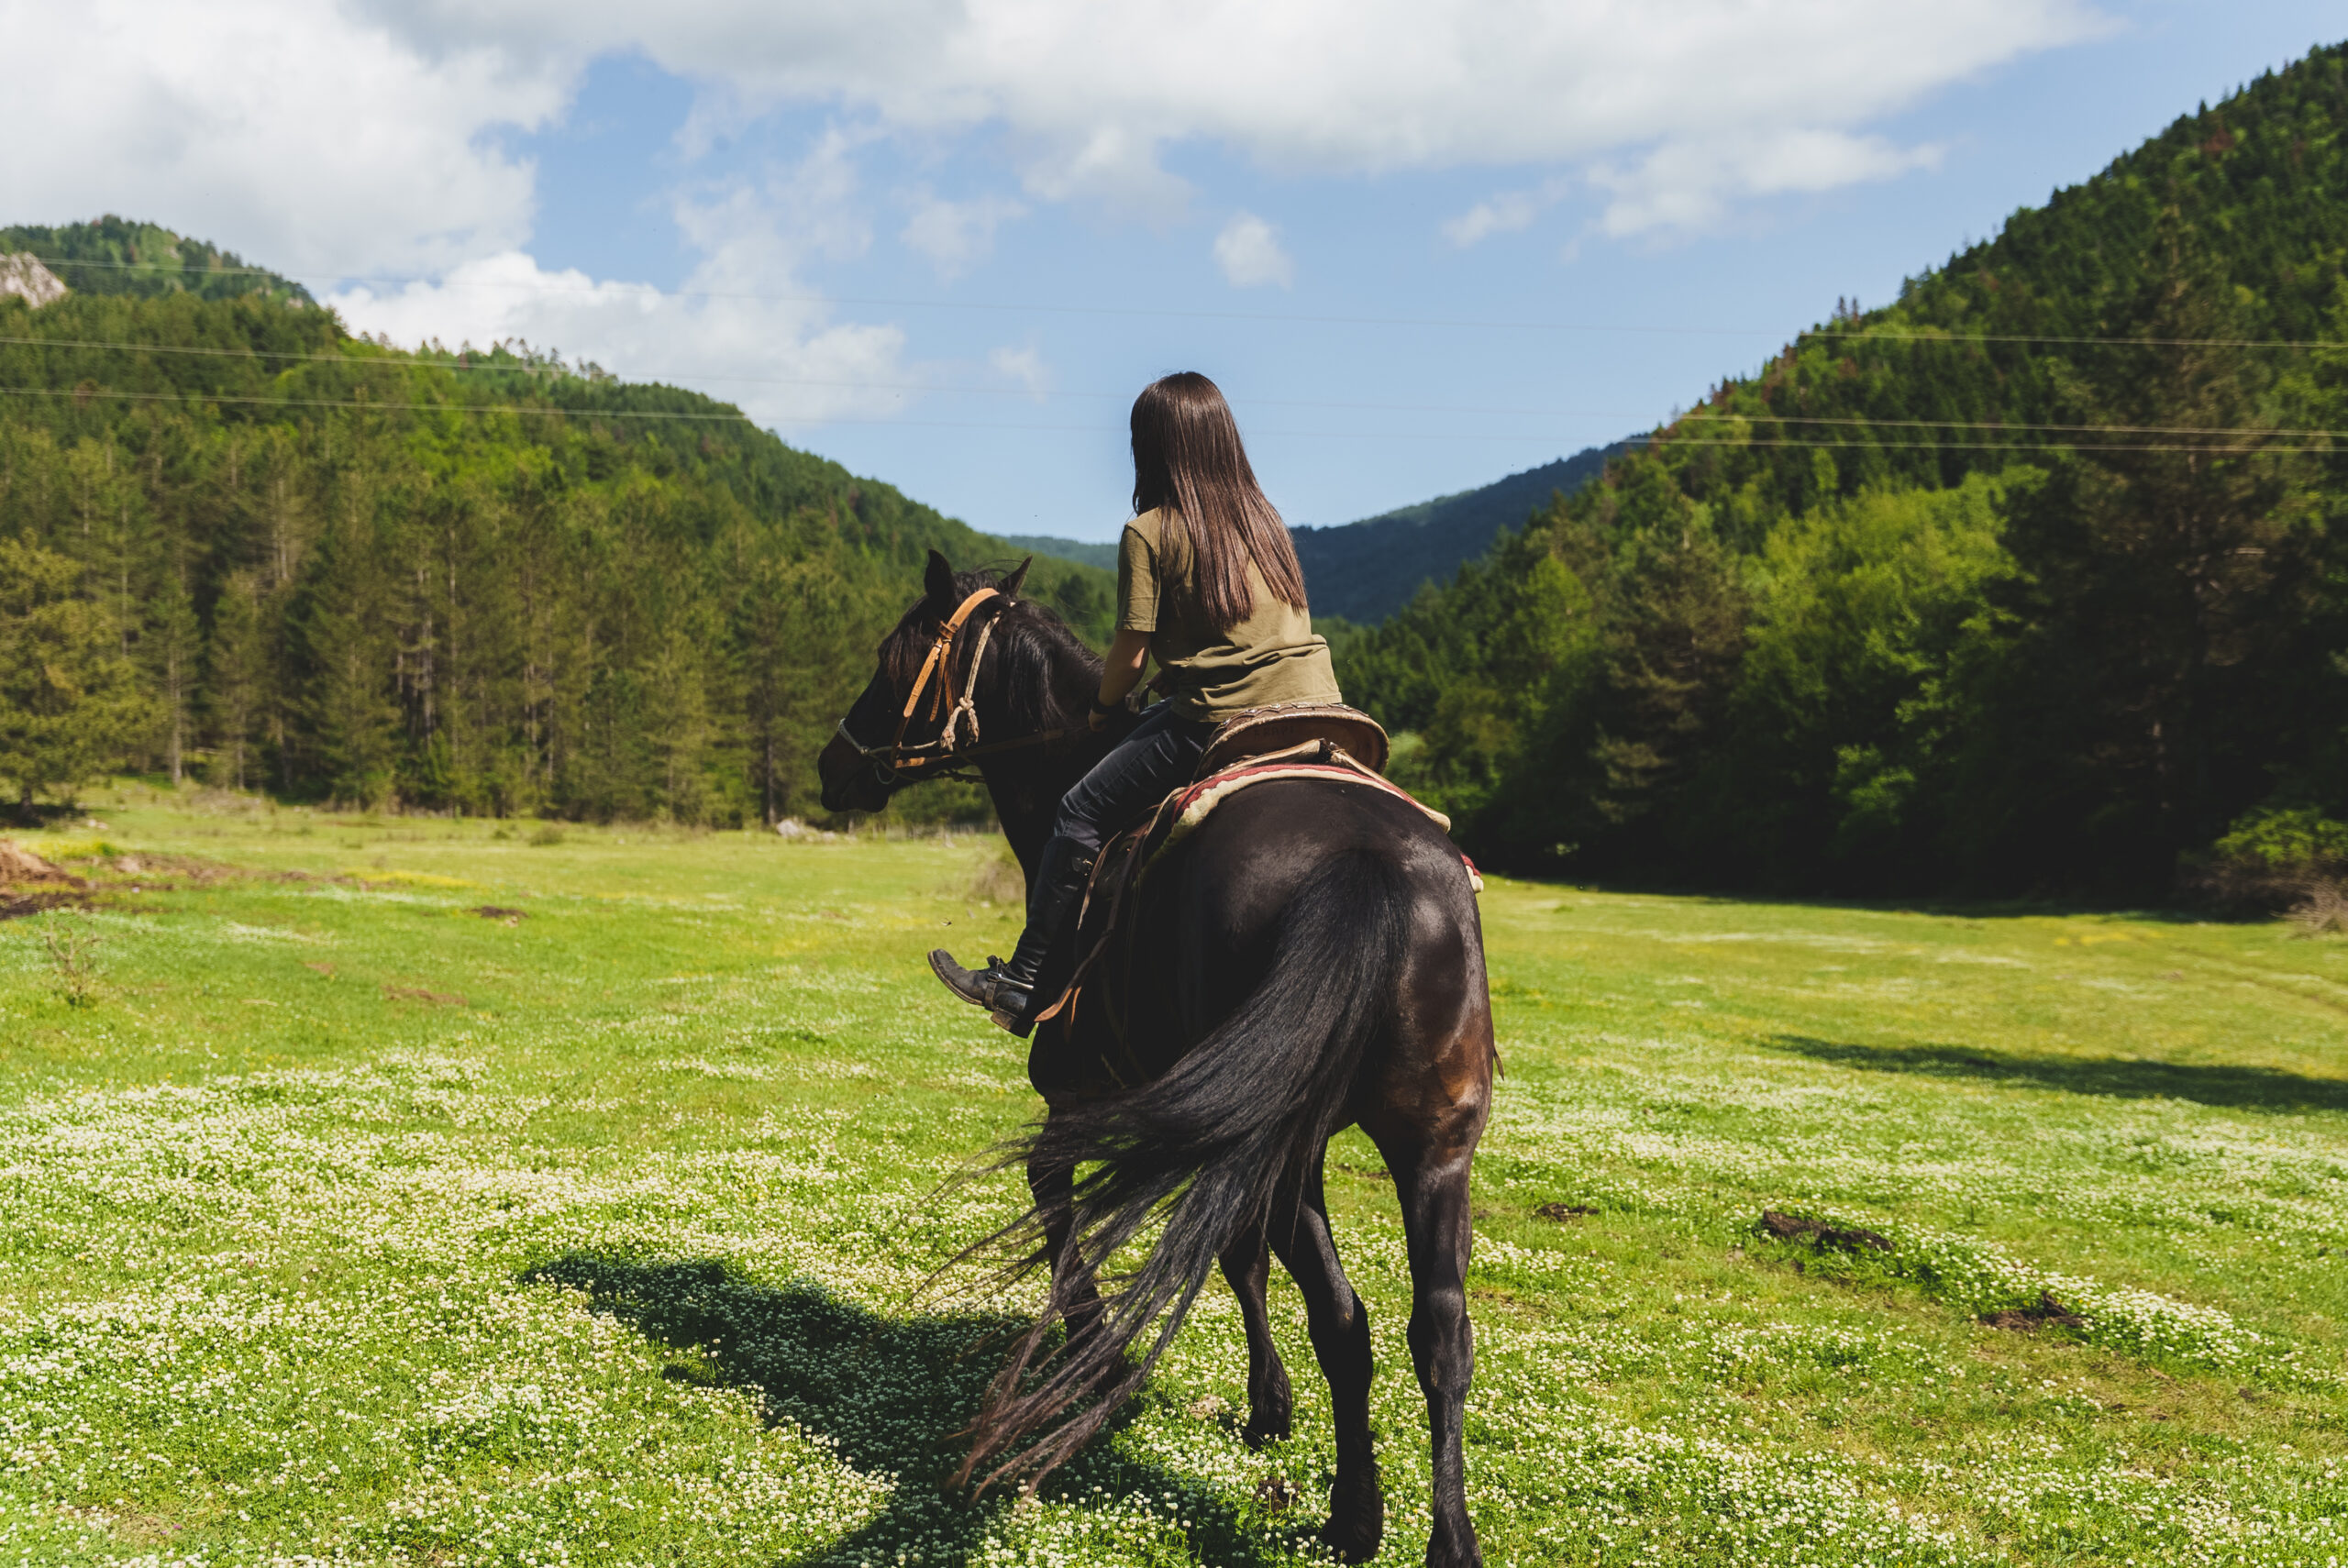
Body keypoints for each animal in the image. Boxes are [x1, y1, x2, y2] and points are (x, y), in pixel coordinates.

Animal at [817, 551, 1495, 1568]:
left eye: (892, 657)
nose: (834, 764)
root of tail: (1368, 860)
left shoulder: (1086, 1105)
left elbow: (1063, 1214)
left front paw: (1101, 1362)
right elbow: (1238, 1258)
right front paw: (1265, 1406)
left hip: (1282, 1143)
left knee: (1344, 1317)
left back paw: (1354, 1515)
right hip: (1433, 1144)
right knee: (1438, 1333)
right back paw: (1444, 1535)